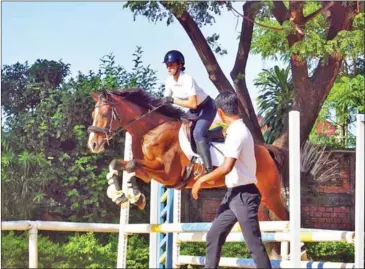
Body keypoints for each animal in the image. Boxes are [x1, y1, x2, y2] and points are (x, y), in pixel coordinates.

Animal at [87, 88, 288, 222]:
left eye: (104, 114)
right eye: (92, 114)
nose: (93, 144)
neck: (153, 130)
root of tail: (265, 149)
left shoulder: (169, 175)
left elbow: (131, 165)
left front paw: (134, 196)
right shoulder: (148, 173)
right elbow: (120, 164)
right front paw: (122, 194)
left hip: (270, 193)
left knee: (286, 217)